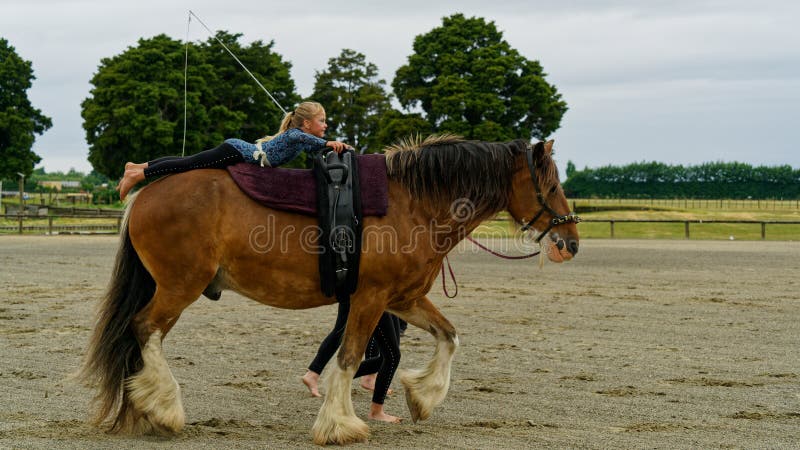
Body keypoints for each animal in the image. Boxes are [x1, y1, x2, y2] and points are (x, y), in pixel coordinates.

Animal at [78, 135, 580, 444]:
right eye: (553, 184)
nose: (570, 242)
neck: (412, 203)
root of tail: (147, 194)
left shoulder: (403, 299)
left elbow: (448, 336)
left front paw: (423, 396)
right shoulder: (371, 299)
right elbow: (350, 357)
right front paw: (340, 424)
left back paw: (142, 409)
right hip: (179, 286)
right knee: (145, 330)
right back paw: (163, 408)